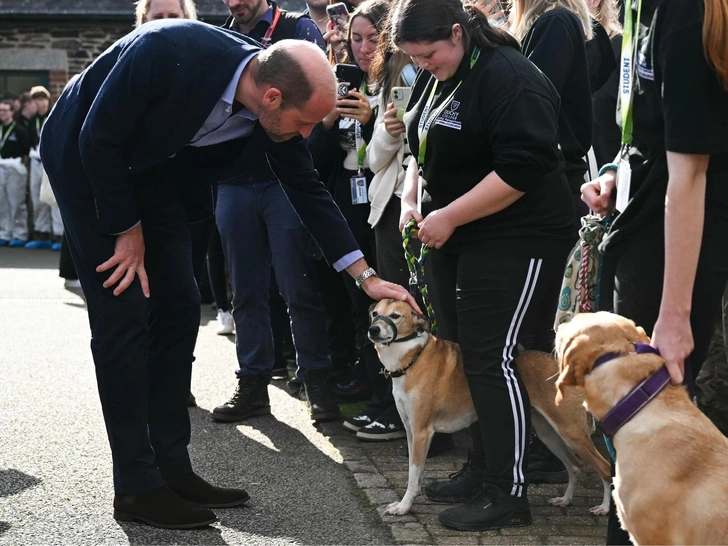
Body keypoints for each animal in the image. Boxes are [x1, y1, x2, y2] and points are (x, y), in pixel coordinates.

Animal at [366, 298, 612, 516]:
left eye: (395, 316)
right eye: (374, 313)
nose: (373, 330)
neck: (411, 358)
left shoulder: (421, 432)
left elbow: (413, 475)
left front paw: (404, 507)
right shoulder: (410, 431)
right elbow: (414, 473)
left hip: (572, 433)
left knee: (605, 467)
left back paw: (605, 508)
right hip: (548, 432)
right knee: (575, 466)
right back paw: (565, 500)